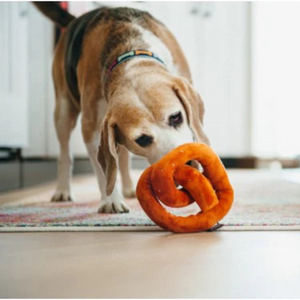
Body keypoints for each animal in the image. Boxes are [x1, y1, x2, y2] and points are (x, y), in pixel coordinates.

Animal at [34, 2, 210, 213]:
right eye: (142, 139)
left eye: (176, 117)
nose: (187, 166)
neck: (131, 55)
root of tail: (73, 20)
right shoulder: (92, 129)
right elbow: (104, 171)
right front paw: (111, 201)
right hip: (63, 110)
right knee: (65, 155)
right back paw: (62, 191)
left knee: (123, 156)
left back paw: (128, 188)